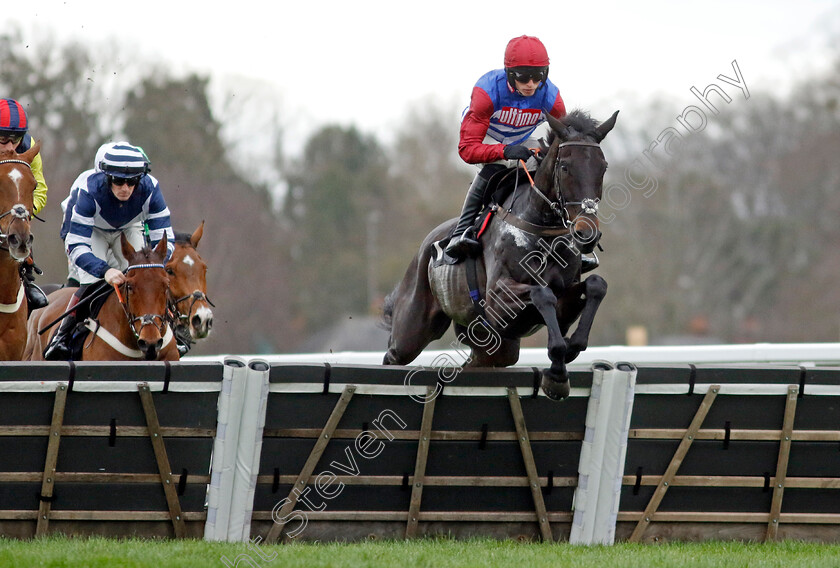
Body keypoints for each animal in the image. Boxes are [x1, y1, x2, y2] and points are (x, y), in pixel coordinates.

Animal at [384, 110, 620, 400]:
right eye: (565, 167)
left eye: (603, 167)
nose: (587, 234)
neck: (541, 227)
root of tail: (424, 249)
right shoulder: (497, 301)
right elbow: (542, 293)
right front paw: (557, 369)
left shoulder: (565, 299)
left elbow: (596, 286)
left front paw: (569, 353)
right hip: (412, 328)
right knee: (393, 354)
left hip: (495, 346)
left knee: (477, 361)